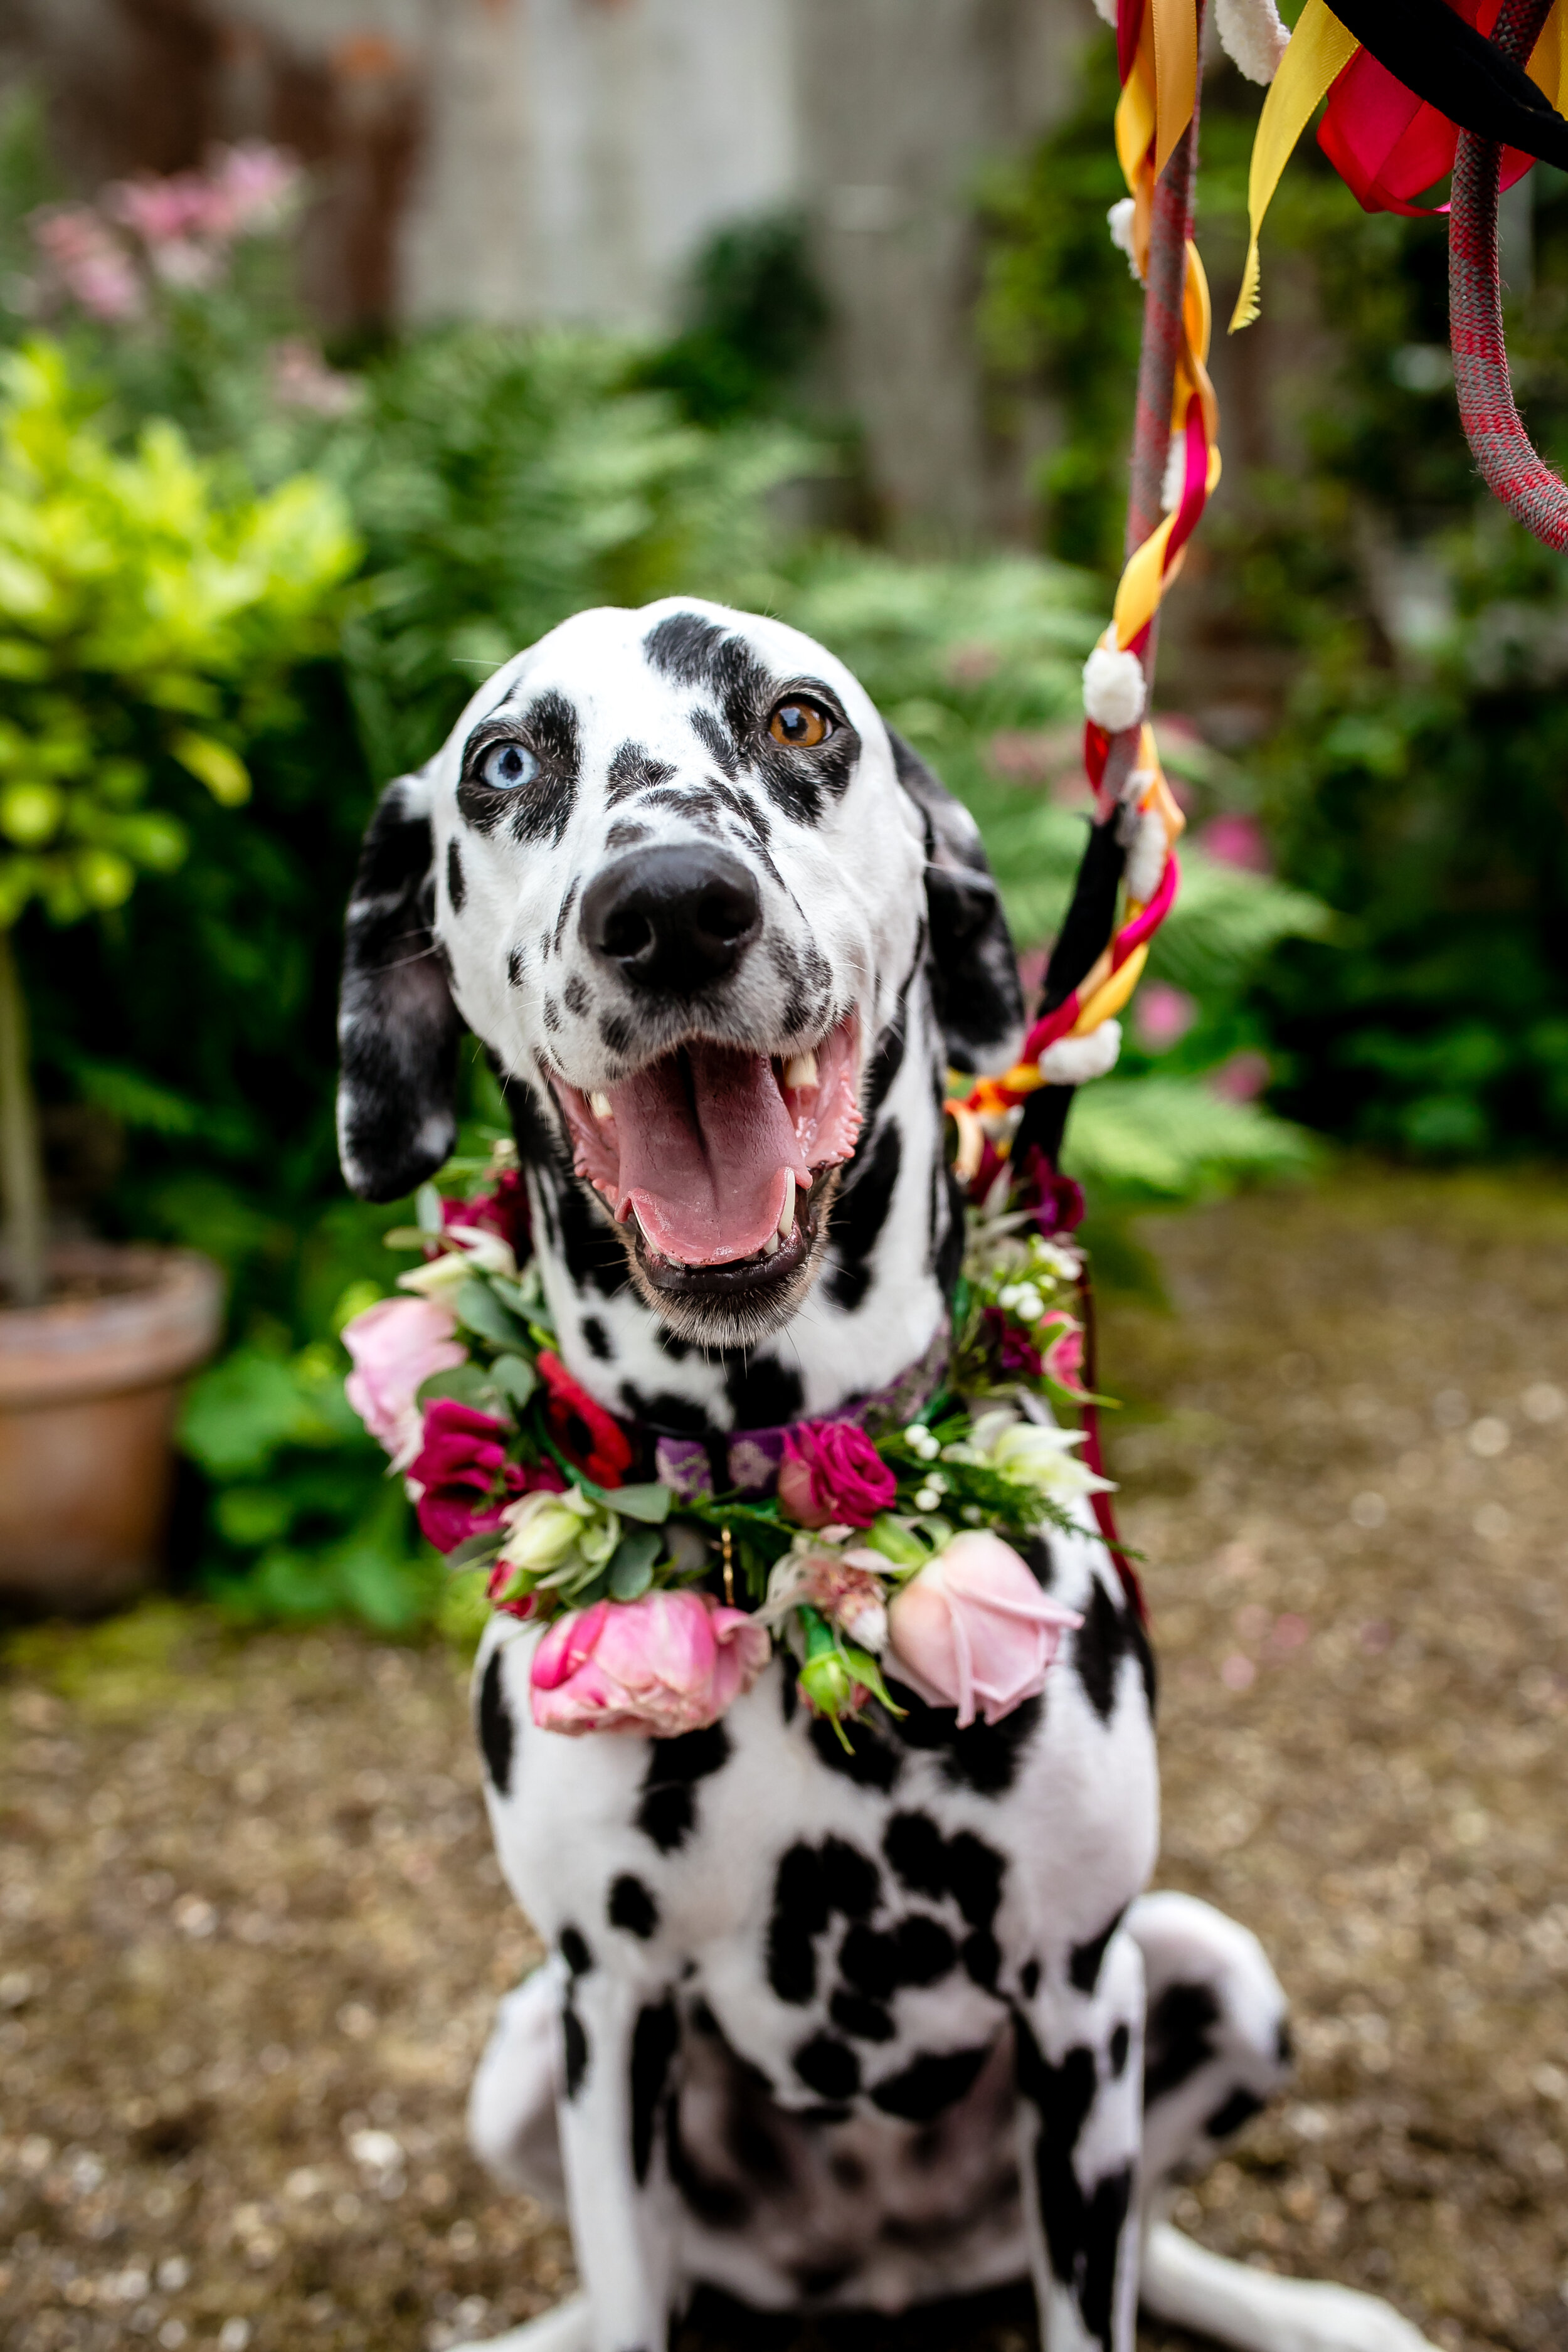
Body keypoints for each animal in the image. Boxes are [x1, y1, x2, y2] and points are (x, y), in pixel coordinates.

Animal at [341, 602, 1438, 2352]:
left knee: (1150, 2241)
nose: (671, 907)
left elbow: (1097, 2293)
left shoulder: (1077, 1994)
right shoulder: (609, 2003)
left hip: (1201, 1977)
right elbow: (626, 2287)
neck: (768, 1486)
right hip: (525, 2058)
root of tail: (883, 2267)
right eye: (507, 761)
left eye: (799, 719)